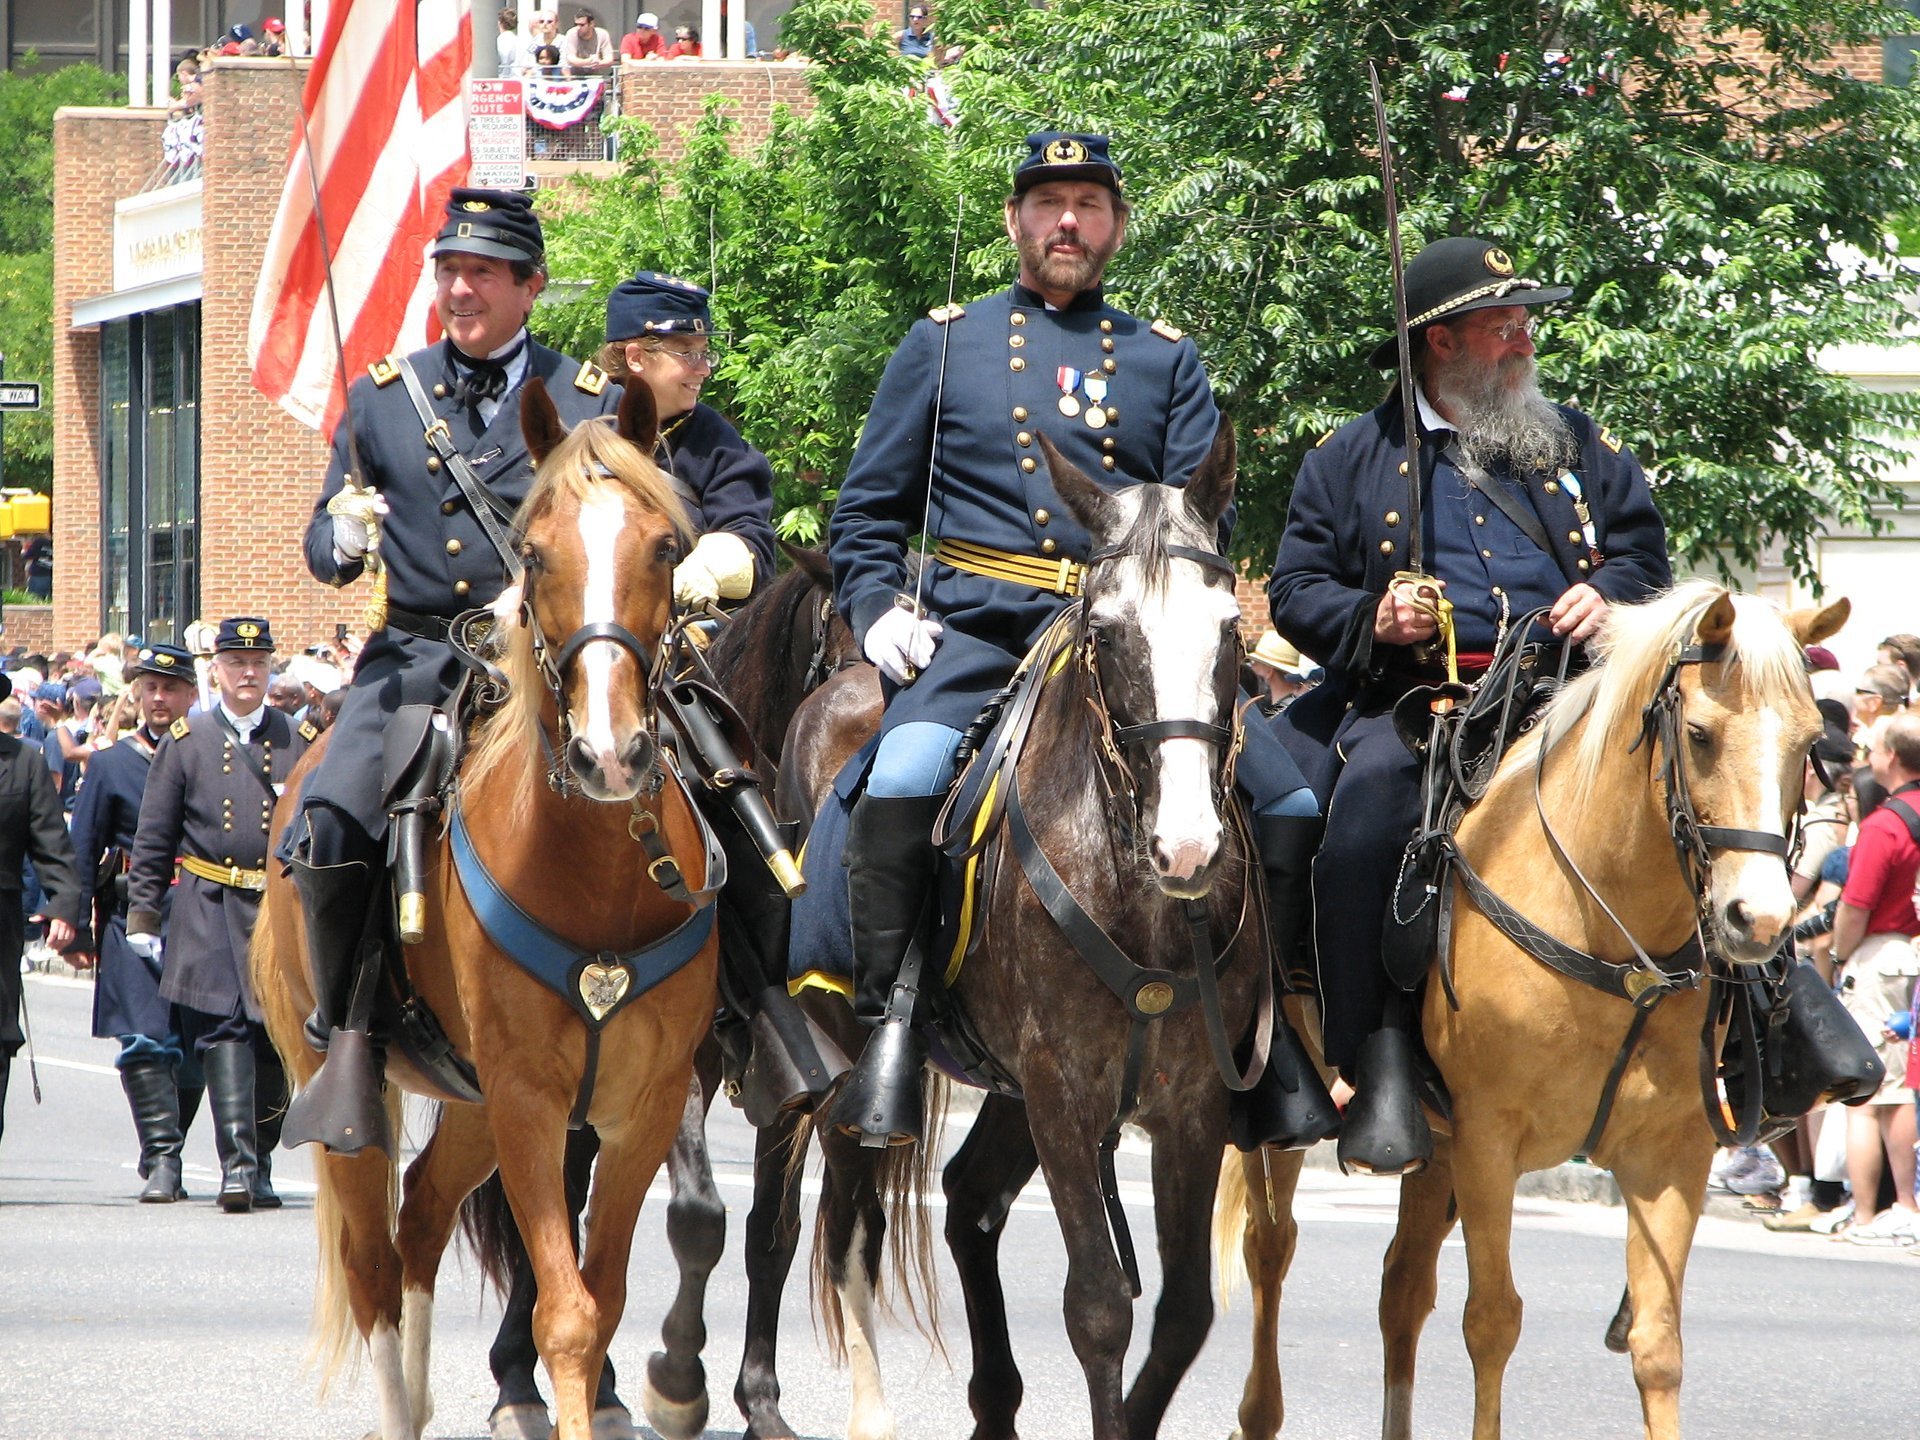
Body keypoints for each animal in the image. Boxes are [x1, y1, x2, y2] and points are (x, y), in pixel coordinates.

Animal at [247, 380, 714, 1440]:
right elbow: (566, 1317)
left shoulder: (644, 1105)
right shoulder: (530, 1098)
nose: (611, 753)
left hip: (470, 1102)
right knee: (372, 1263)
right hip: (351, 1089)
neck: (597, 870)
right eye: (534, 553)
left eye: (665, 547)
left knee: (420, 1212)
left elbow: (602, 1298)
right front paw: (353, 522)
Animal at [779, 422, 1259, 1436]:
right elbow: (1101, 1307)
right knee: (848, 1217)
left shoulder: (1191, 1103)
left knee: (968, 1200)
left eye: (1231, 630)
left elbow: (1185, 1312)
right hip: (856, 1050)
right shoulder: (1062, 1091)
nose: (1188, 844)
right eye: (1106, 632)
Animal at [1221, 583, 1850, 1440]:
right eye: (1699, 734)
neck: (1609, 930)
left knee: (1401, 1285)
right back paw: (1258, 1409)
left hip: (1433, 1145)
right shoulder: (1490, 1139)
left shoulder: (1671, 1154)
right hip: (1303, 1113)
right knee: (1271, 1245)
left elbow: (1657, 1342)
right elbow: (1492, 1320)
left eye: (1810, 741)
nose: (1758, 921)